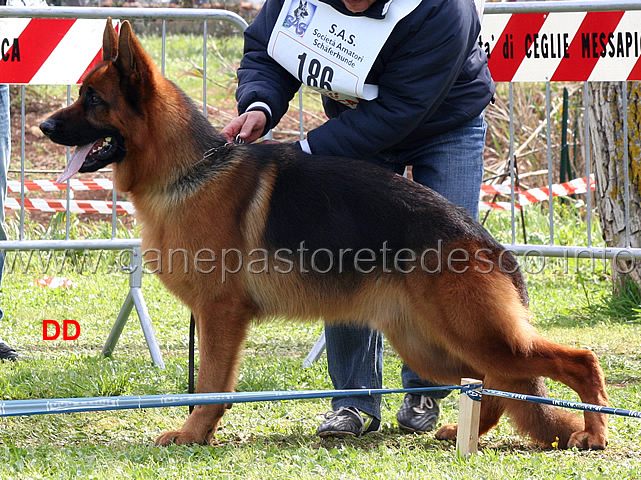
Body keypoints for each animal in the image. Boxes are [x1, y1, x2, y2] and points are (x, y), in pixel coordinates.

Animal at [41, 18, 608, 450]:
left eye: (93, 100)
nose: (44, 127)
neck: (188, 171)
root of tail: (487, 243)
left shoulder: (220, 316)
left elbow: (209, 386)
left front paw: (194, 434)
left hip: (477, 336)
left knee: (576, 361)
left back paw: (596, 433)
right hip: (430, 346)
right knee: (490, 384)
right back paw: (465, 433)